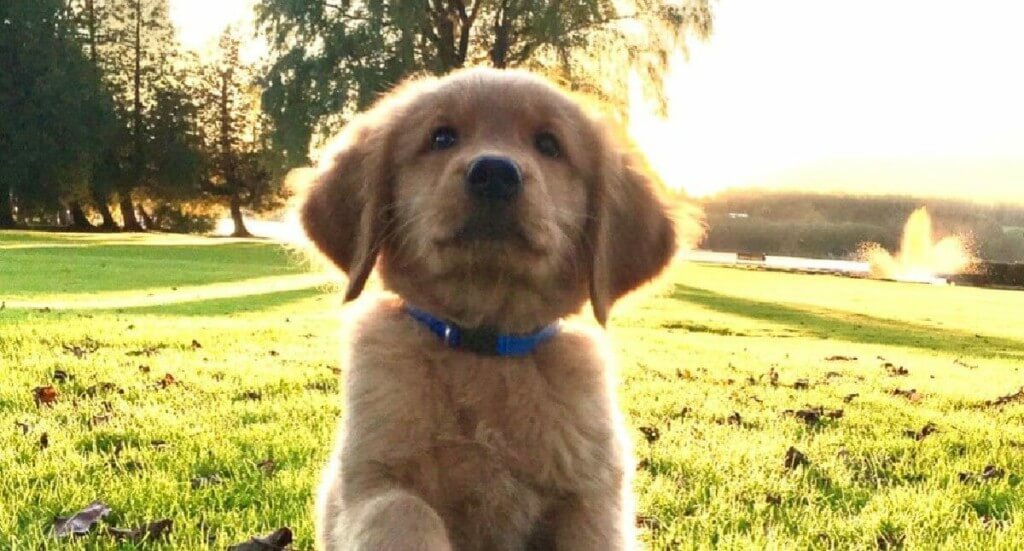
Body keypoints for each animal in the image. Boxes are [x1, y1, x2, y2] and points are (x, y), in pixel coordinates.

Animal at [305, 66, 679, 544]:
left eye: (548, 144)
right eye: (442, 137)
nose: (495, 172)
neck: (484, 347)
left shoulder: (591, 498)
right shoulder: (371, 482)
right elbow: (406, 512)